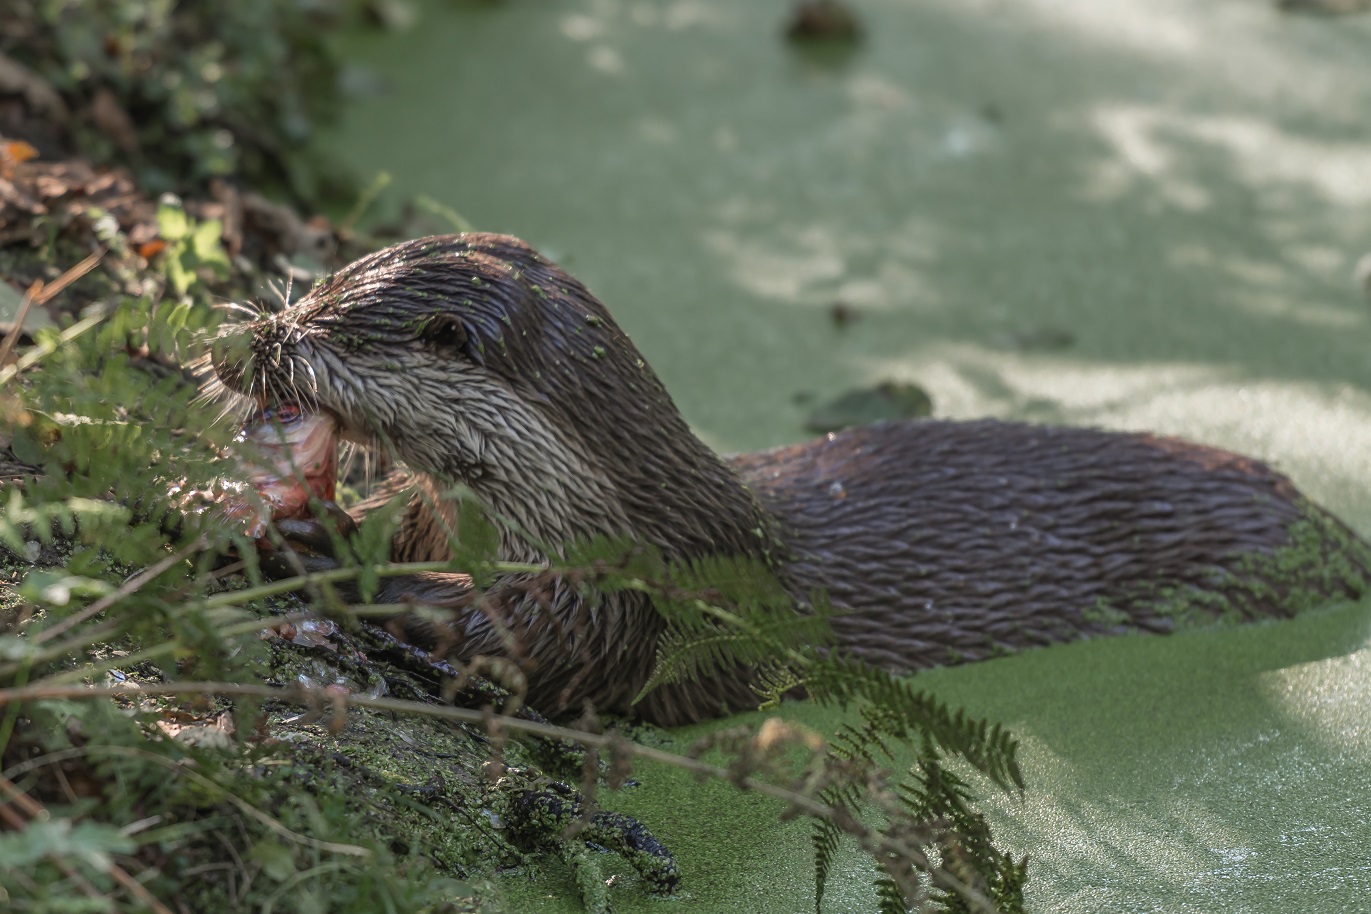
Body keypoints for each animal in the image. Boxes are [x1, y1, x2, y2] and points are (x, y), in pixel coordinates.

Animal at [208, 232, 1371, 723]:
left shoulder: (654, 603)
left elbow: (525, 637)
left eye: (318, 332)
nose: (244, 342)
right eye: (311, 291)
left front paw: (326, 556)